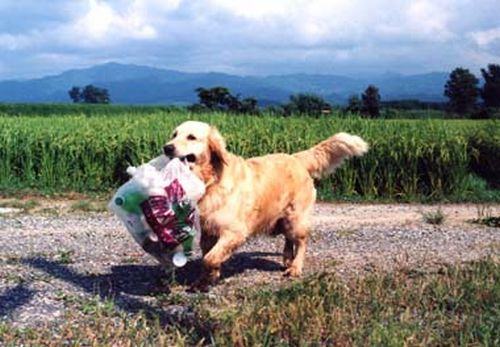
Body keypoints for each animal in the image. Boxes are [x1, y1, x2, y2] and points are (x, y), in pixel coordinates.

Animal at [164, 121, 368, 290]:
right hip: (284, 219)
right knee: (289, 239)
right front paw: (207, 278)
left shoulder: (234, 232)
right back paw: (287, 259)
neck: (211, 179)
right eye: (174, 134)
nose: (167, 147)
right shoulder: (208, 231)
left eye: (191, 137)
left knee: (301, 242)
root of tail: (296, 158)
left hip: (297, 218)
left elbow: (209, 258)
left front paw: (210, 276)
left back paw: (295, 267)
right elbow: (209, 257)